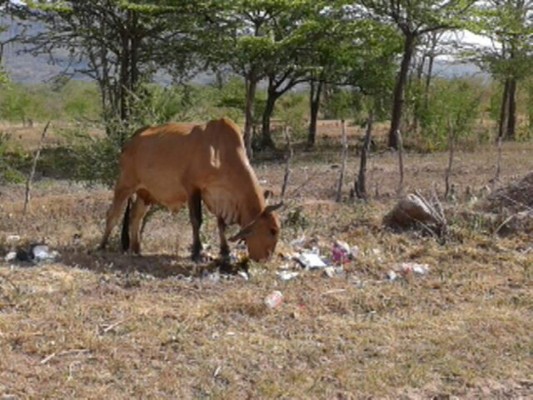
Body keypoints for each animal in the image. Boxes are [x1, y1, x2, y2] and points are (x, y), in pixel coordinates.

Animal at [100, 118, 282, 262]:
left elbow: (221, 224)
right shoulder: (193, 189)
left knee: (136, 216)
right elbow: (196, 220)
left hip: (145, 193)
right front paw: (197, 252)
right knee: (113, 214)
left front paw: (225, 251)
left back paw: (136, 249)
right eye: (272, 230)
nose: (266, 259)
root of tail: (130, 141)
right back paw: (102, 246)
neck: (220, 152)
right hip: (124, 184)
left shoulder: (218, 196)